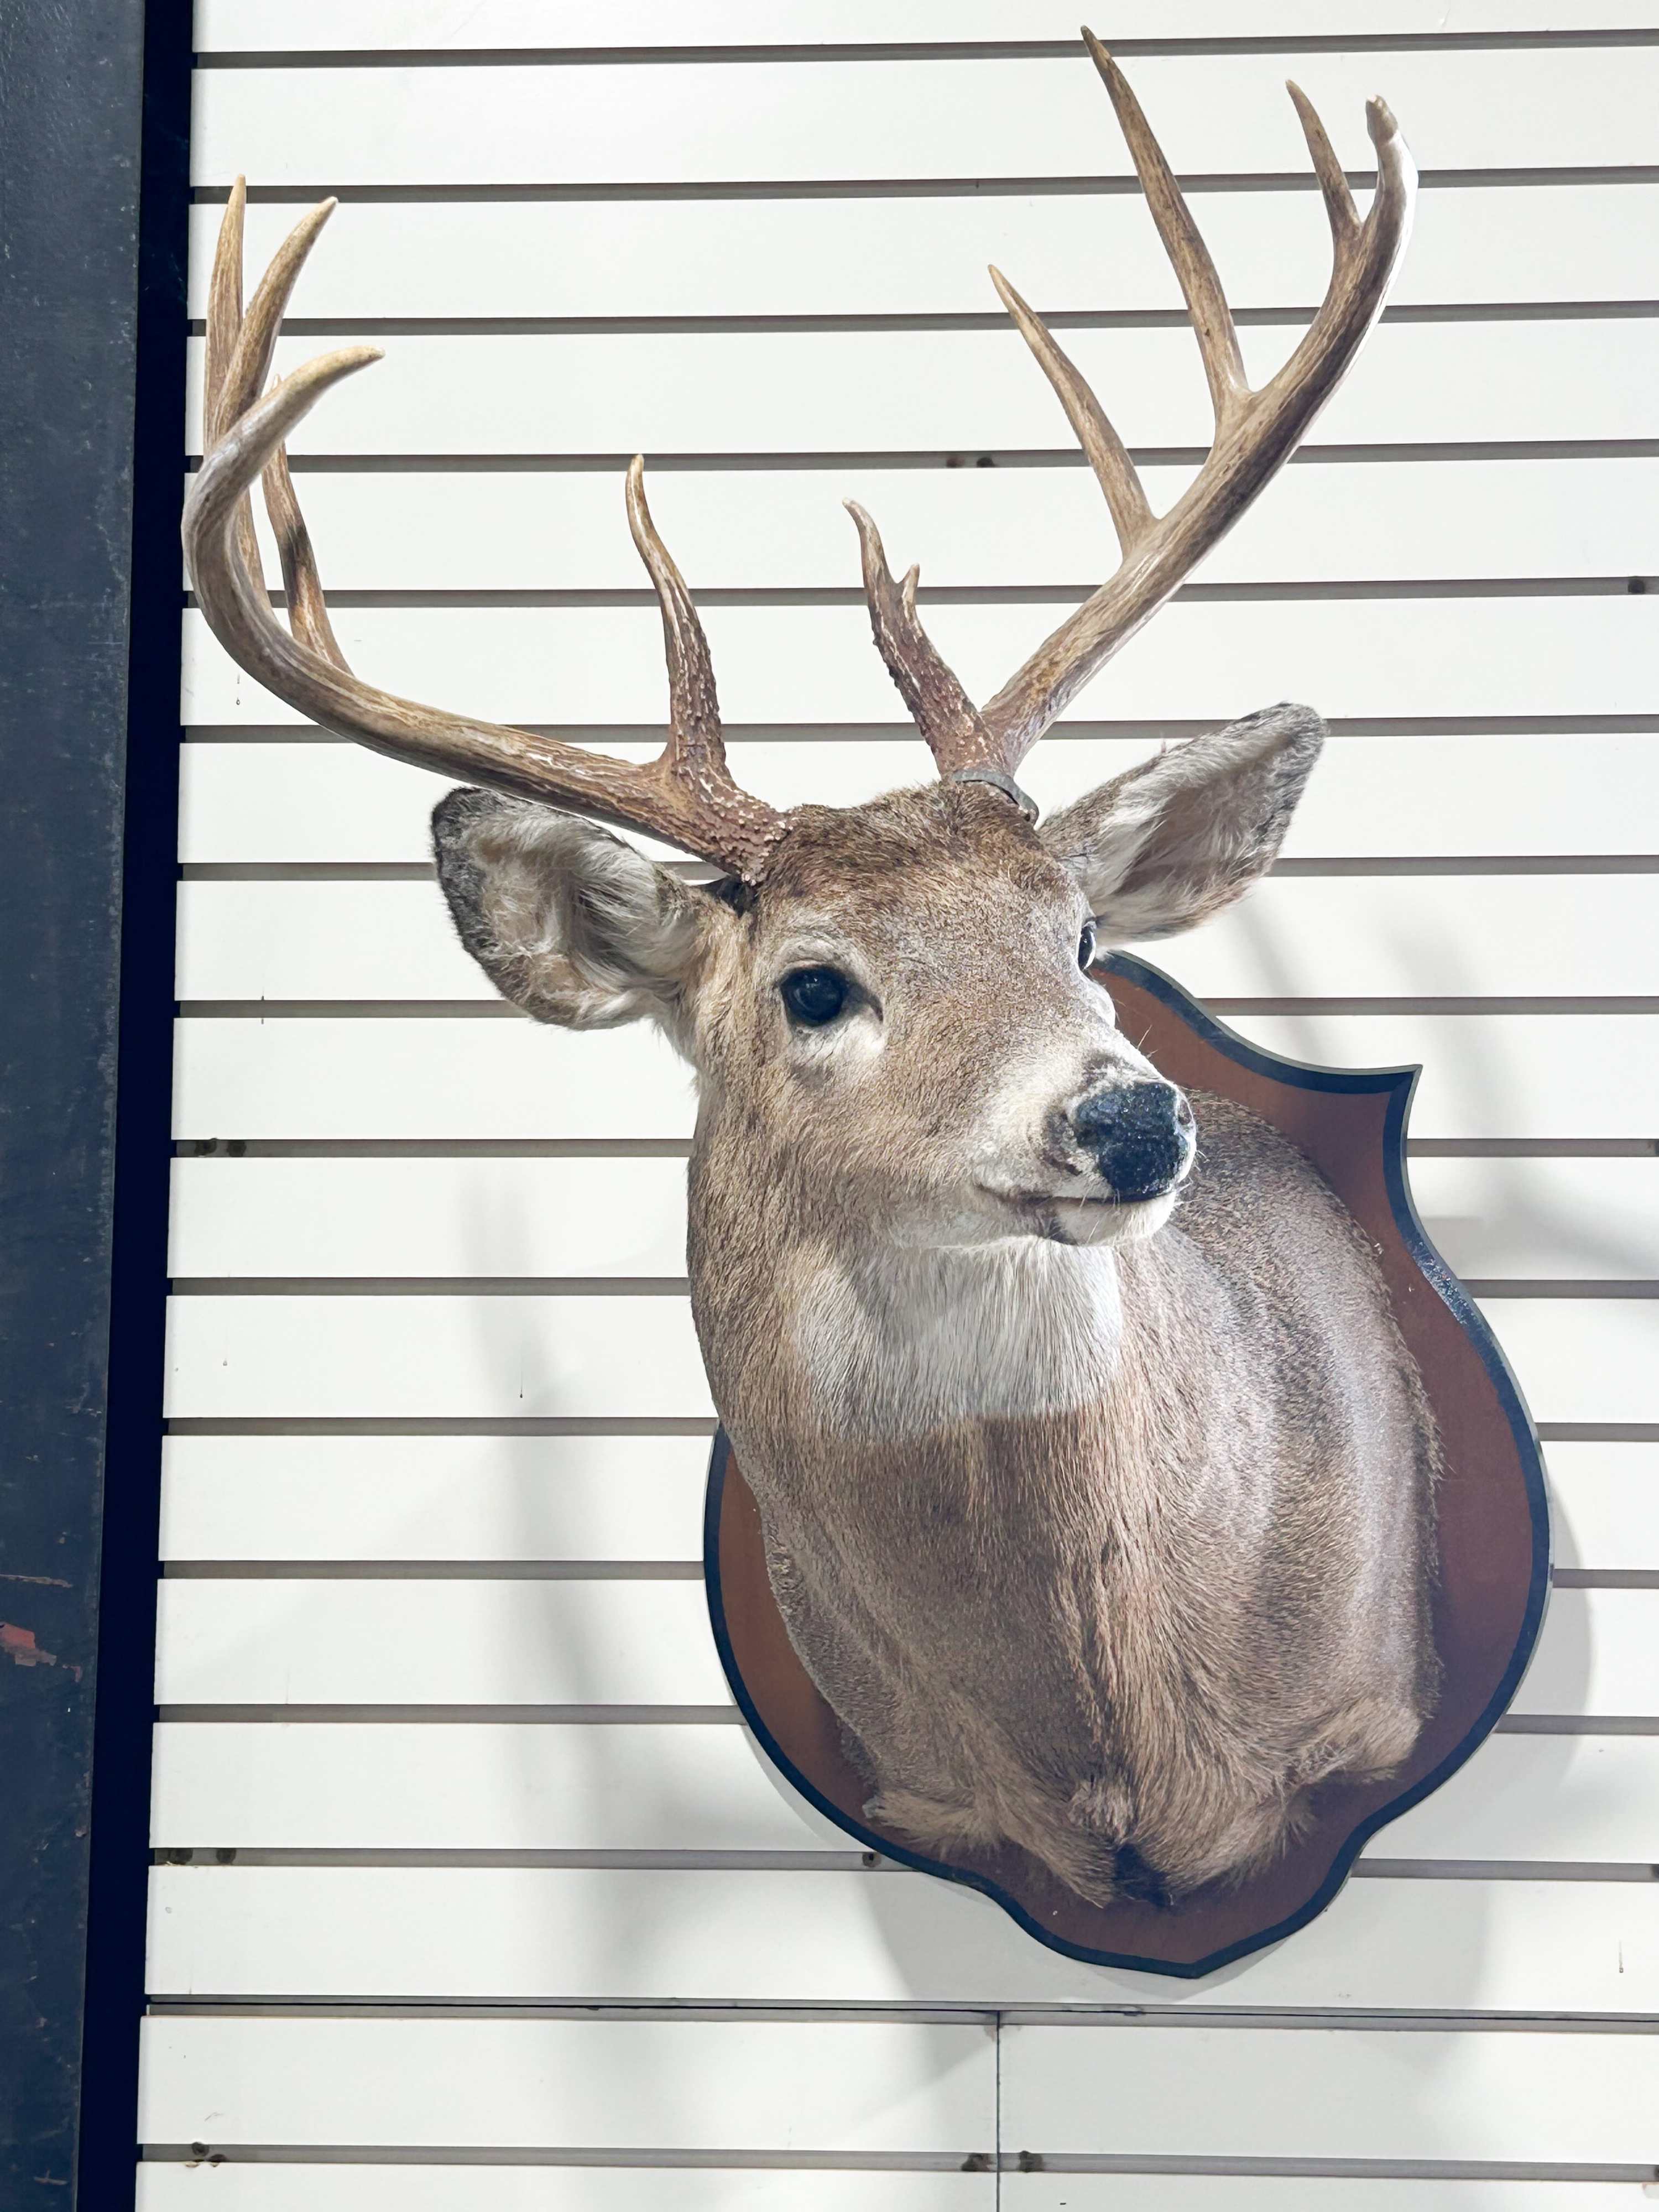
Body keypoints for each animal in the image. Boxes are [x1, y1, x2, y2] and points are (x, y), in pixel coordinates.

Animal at [184, 38, 1438, 1909]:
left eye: (1080, 934)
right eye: (814, 985)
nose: (1131, 1121)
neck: (1122, 1744)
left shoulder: (1367, 1721)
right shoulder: (921, 1802)